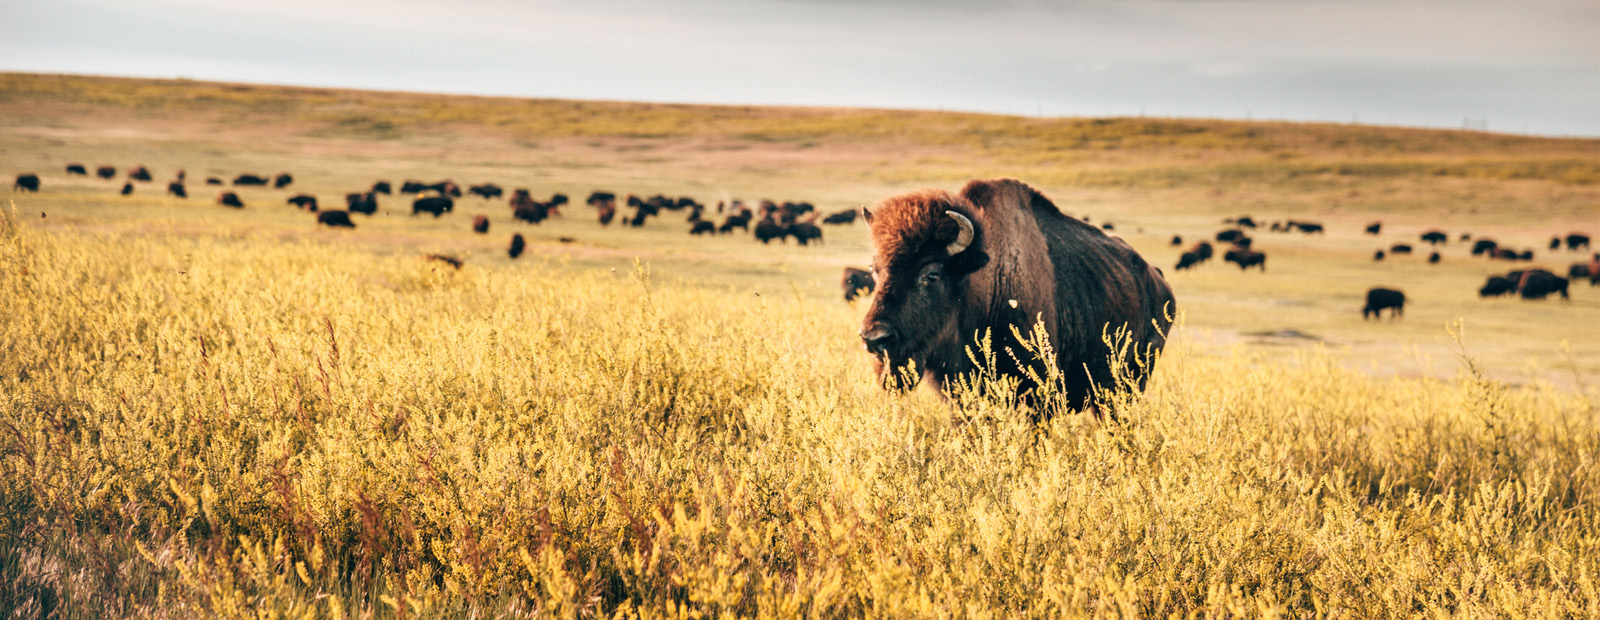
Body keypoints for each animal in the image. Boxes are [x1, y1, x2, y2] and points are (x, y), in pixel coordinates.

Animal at [864, 176, 1177, 415]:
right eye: (874, 269)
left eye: (932, 274)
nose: (874, 338)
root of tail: (1158, 281)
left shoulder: (1040, 397)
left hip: (1125, 389)